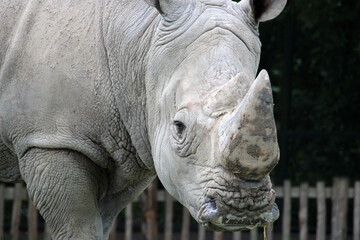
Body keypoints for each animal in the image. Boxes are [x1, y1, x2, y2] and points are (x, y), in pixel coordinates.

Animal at [0, 0, 286, 238]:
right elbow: (77, 227)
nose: (242, 208)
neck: (141, 47)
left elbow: (101, 222)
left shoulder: (125, 152)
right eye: (179, 127)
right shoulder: (51, 139)